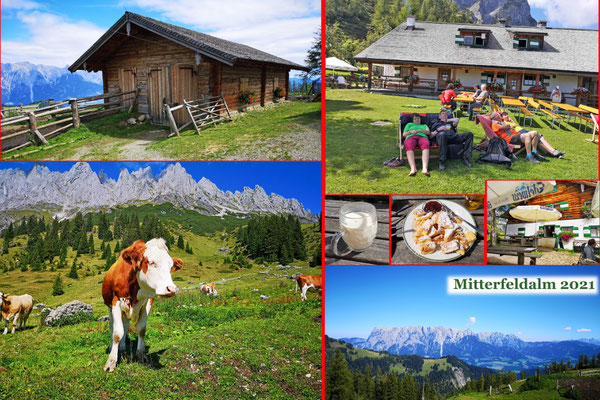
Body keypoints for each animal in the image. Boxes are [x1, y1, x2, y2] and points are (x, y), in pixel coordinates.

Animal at [101, 238, 183, 372]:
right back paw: (112, 347)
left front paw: (141, 355)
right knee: (113, 326)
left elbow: (141, 329)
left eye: (170, 266)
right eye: (151, 262)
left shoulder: (148, 302)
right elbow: (117, 333)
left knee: (125, 325)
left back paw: (122, 348)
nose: (171, 289)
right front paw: (111, 363)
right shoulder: (116, 302)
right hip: (109, 307)